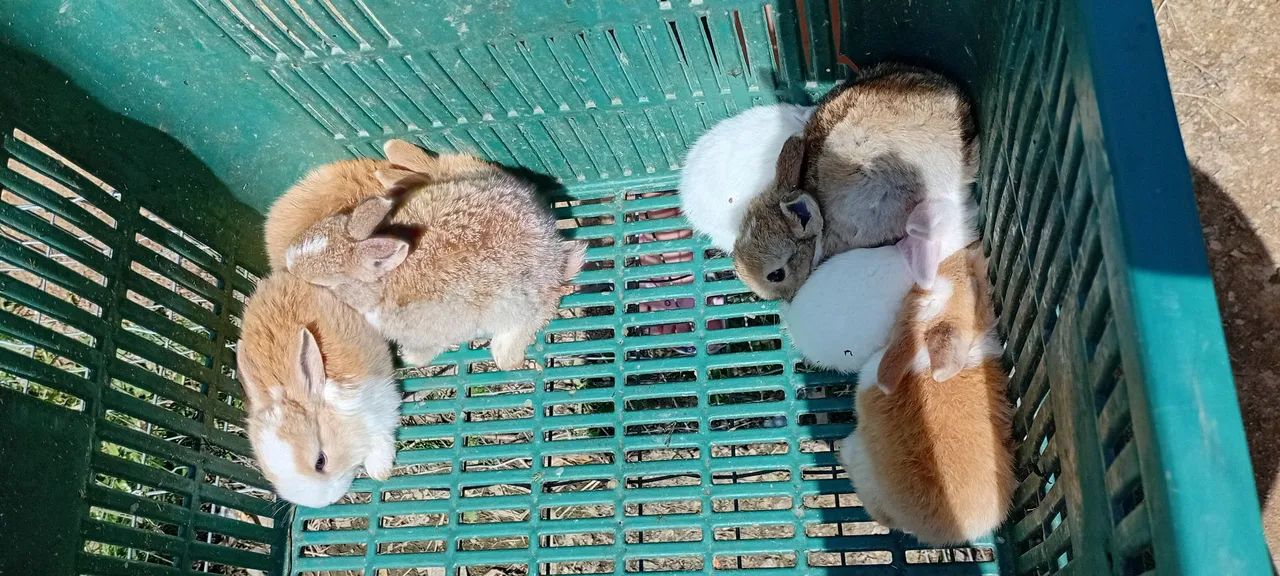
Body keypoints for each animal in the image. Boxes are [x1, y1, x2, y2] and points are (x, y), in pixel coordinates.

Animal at [236, 273, 401, 508]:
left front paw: (380, 471)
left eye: (320, 461)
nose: (326, 502)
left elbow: (381, 439)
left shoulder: (382, 406)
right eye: (269, 474)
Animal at [285, 142, 586, 371]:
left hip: (520, 305)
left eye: (323, 283)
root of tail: (552, 248)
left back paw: (508, 356)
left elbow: (425, 350)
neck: (386, 283)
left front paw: (408, 358)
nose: (289, 263)